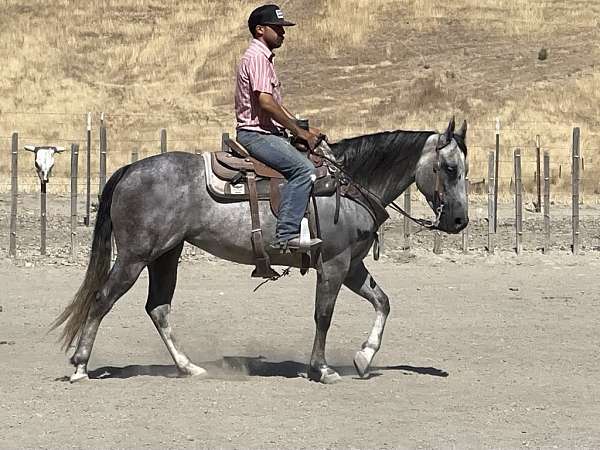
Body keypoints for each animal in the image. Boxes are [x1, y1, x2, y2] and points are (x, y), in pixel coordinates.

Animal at [52, 117, 468, 384]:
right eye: (449, 168)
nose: (459, 220)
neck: (348, 184)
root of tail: (129, 170)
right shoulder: (334, 265)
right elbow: (323, 316)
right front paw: (322, 369)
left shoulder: (351, 266)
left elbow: (383, 302)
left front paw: (364, 358)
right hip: (135, 256)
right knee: (103, 299)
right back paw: (80, 366)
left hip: (165, 255)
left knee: (158, 307)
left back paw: (189, 368)